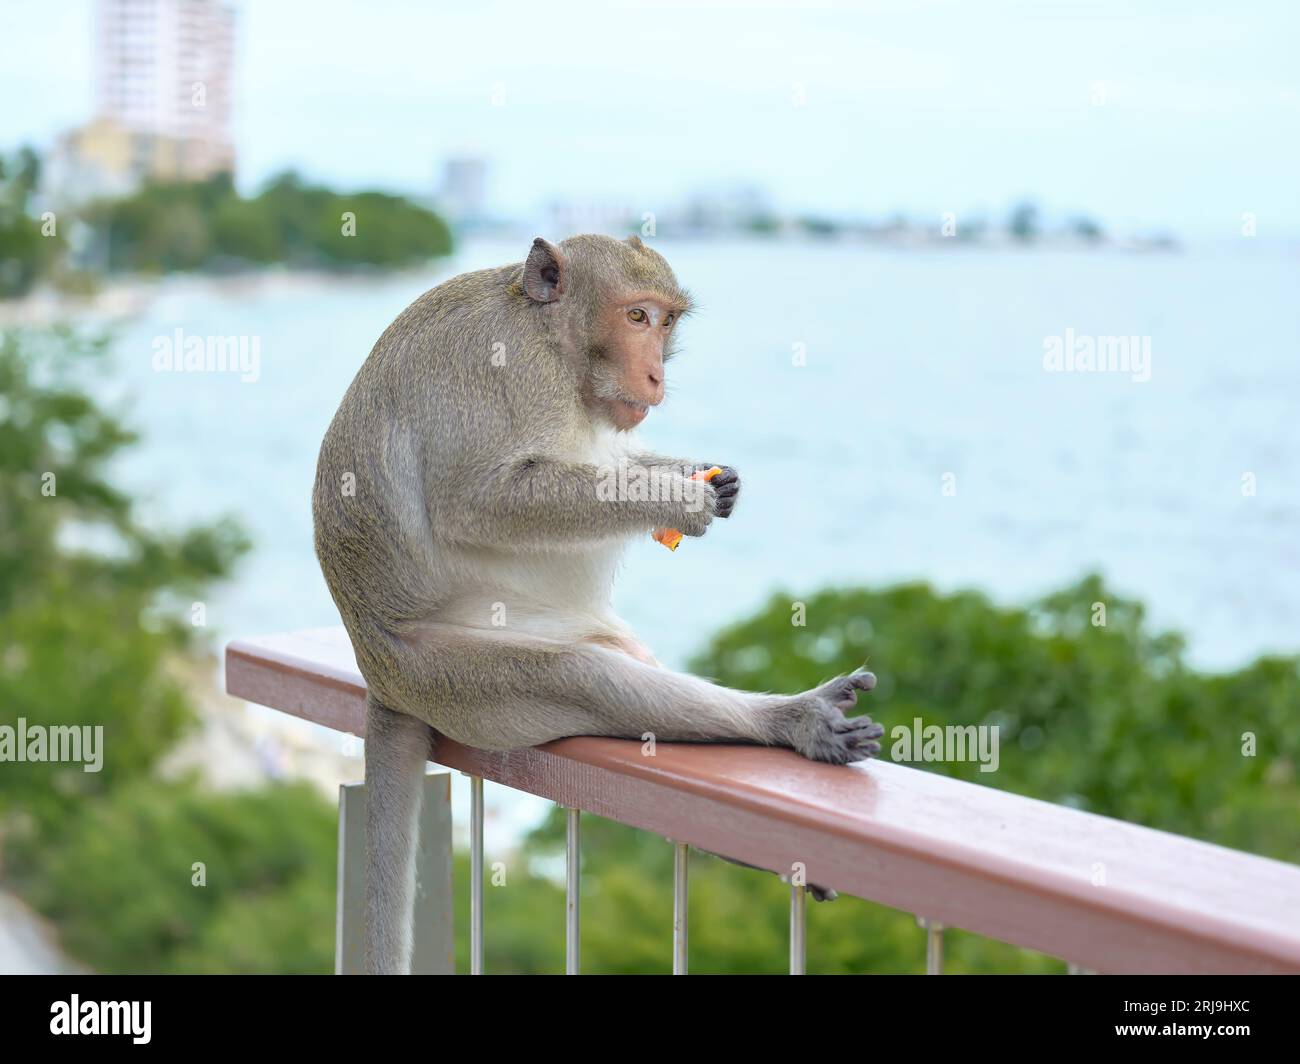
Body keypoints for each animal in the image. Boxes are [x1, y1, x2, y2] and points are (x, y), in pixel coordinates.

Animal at [313, 231, 883, 967]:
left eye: (666, 322)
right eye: (636, 317)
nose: (656, 377)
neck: (551, 336)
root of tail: (373, 667)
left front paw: (702, 477)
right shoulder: (509, 369)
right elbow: (478, 503)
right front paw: (678, 500)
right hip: (440, 673)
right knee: (581, 675)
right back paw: (791, 721)